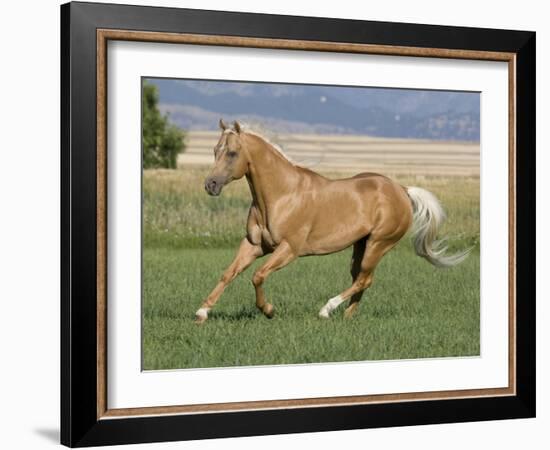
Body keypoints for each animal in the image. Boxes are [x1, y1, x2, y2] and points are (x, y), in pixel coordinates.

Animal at [195, 119, 470, 324]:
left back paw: (326, 310)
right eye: (215, 151)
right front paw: (202, 312)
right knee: (361, 279)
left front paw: (269, 310)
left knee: (364, 279)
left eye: (232, 153)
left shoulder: (289, 249)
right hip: (361, 245)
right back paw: (347, 316)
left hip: (379, 244)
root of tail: (402, 190)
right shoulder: (254, 245)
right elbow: (228, 273)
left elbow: (258, 276)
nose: (210, 185)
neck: (282, 195)